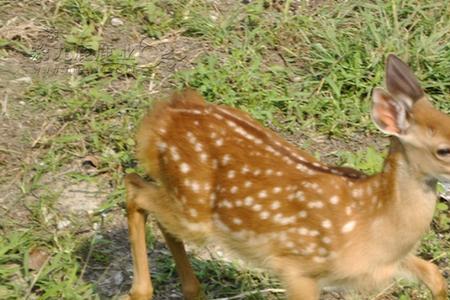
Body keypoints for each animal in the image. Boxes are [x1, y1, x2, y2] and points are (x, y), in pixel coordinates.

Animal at [123, 54, 446, 300]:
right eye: (443, 150)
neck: (372, 221)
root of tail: (162, 117)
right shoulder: (297, 267)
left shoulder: (389, 263)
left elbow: (435, 274)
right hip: (192, 208)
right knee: (135, 188)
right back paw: (141, 292)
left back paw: (192, 290)